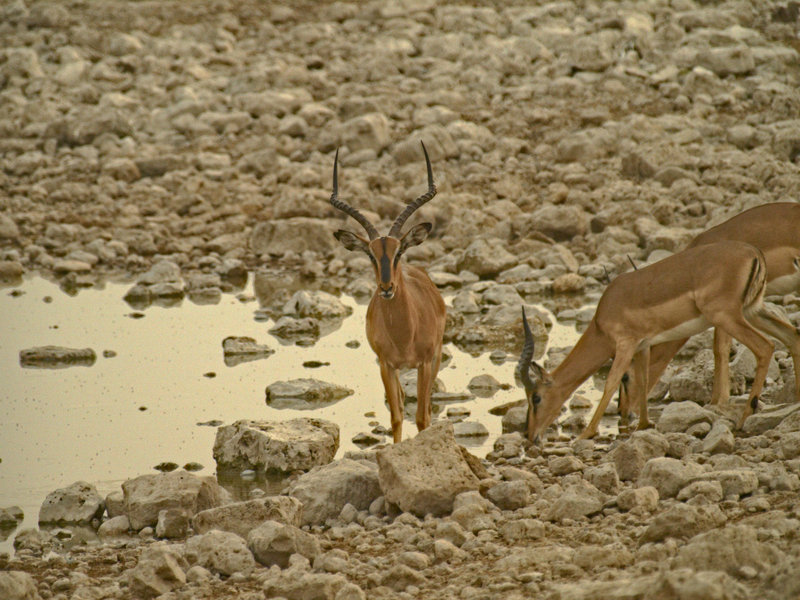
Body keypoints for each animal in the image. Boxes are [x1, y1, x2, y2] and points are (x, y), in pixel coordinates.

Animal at [329, 142, 446, 443]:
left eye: (399, 252)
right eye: (371, 254)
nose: (386, 287)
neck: (404, 335)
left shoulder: (425, 362)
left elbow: (422, 418)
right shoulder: (385, 365)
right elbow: (396, 417)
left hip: (437, 358)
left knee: (427, 407)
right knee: (403, 403)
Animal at [517, 240, 798, 442]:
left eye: (536, 398)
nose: (530, 436)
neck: (602, 319)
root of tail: (754, 252)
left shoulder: (625, 344)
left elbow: (610, 382)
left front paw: (586, 433)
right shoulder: (642, 346)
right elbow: (642, 381)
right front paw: (642, 424)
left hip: (728, 317)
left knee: (765, 347)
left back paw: (743, 419)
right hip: (753, 310)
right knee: (791, 336)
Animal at [618, 202, 800, 423]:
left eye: (625, 376)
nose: (623, 412)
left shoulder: (722, 312)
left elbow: (720, 349)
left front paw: (717, 403)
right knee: (792, 335)